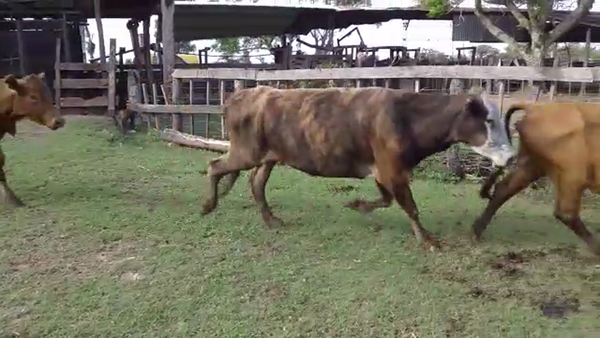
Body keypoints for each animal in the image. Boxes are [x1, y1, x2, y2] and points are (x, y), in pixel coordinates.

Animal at [202, 86, 516, 251]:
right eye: (489, 121)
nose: (512, 157)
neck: (407, 117)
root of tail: (246, 93)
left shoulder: (383, 170)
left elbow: (387, 200)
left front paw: (357, 204)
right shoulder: (392, 168)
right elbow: (410, 206)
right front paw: (426, 239)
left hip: (267, 156)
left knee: (256, 183)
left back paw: (271, 220)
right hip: (246, 152)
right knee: (215, 166)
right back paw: (208, 205)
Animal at [474, 101, 600, 255]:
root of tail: (535, 108)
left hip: (531, 167)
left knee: (502, 189)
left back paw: (477, 230)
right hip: (572, 176)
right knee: (566, 213)